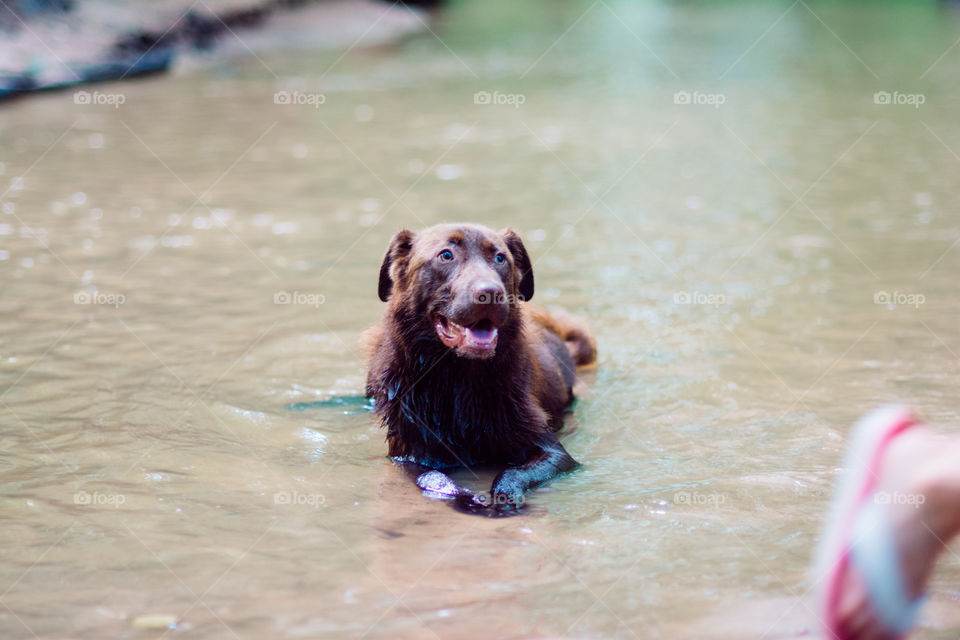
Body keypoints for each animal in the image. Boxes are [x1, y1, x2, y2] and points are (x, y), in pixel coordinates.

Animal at [364, 225, 596, 516]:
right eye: (446, 255)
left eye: (500, 258)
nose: (490, 294)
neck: (457, 376)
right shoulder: (408, 453)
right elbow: (432, 476)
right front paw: (465, 496)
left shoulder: (553, 451)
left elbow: (513, 472)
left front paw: (503, 497)